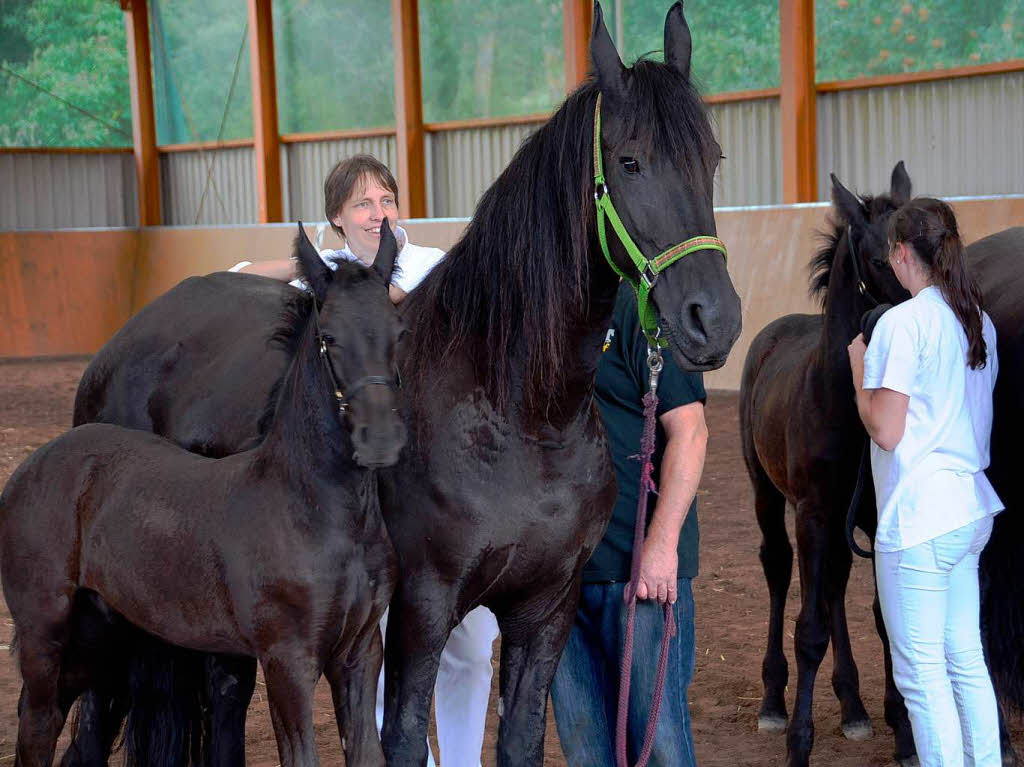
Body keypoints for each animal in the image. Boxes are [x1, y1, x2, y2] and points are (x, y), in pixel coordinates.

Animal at [0, 221, 403, 765]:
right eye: (328, 338)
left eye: (398, 331)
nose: (379, 437)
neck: (311, 509)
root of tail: (34, 464)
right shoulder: (288, 659)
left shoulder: (360, 654)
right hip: (46, 629)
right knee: (40, 722)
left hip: (99, 634)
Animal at [68, 2, 741, 761]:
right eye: (629, 161)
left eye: (711, 159)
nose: (713, 318)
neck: (518, 414)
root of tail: (125, 343)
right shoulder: (422, 602)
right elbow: (405, 734)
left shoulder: (546, 605)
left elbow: (520, 737)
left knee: (223, 692)